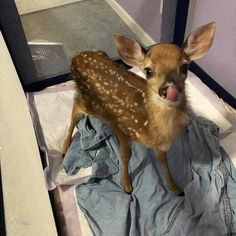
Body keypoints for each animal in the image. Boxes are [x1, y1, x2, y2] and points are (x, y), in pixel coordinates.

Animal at [63, 22, 216, 195]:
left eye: (185, 67)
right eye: (148, 71)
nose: (169, 90)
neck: (147, 124)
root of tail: (77, 56)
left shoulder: (159, 144)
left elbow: (163, 160)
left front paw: (175, 188)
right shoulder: (122, 128)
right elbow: (125, 156)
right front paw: (126, 185)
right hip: (92, 104)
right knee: (77, 103)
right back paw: (65, 146)